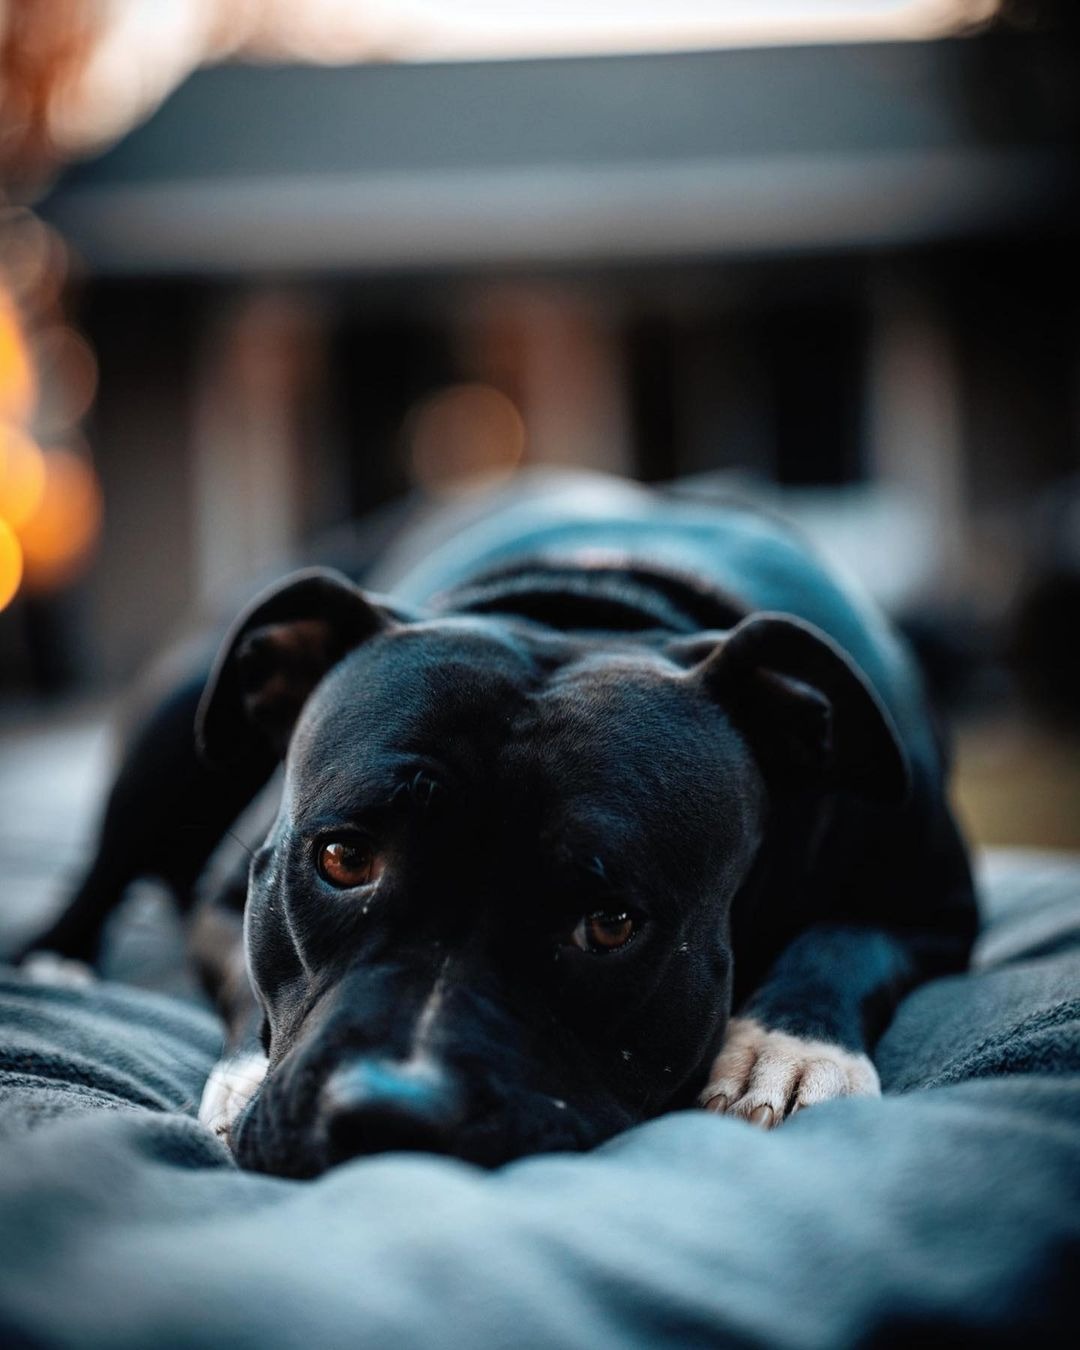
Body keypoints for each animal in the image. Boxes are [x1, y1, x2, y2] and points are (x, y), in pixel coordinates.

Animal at [23, 472, 977, 1171]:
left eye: (609, 924)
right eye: (342, 860)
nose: (389, 1116)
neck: (590, 605)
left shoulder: (940, 906)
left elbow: (844, 940)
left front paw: (787, 1050)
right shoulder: (231, 894)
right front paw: (242, 1082)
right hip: (173, 728)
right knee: (102, 865)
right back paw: (55, 958)